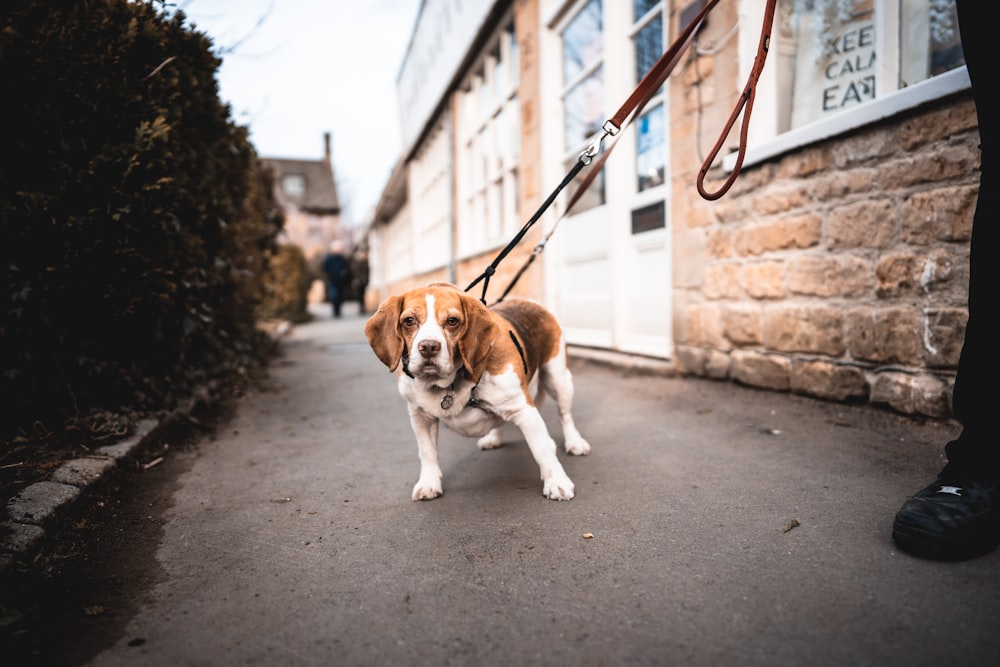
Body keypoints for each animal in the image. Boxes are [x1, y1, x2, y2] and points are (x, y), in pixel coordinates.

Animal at [364, 282, 588, 500]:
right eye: (409, 321)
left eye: (452, 321)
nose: (428, 347)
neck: (450, 383)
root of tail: (529, 301)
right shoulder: (420, 416)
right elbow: (427, 452)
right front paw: (429, 483)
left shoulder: (523, 409)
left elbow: (543, 448)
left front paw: (557, 482)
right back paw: (493, 438)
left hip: (559, 379)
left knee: (565, 416)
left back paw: (575, 442)